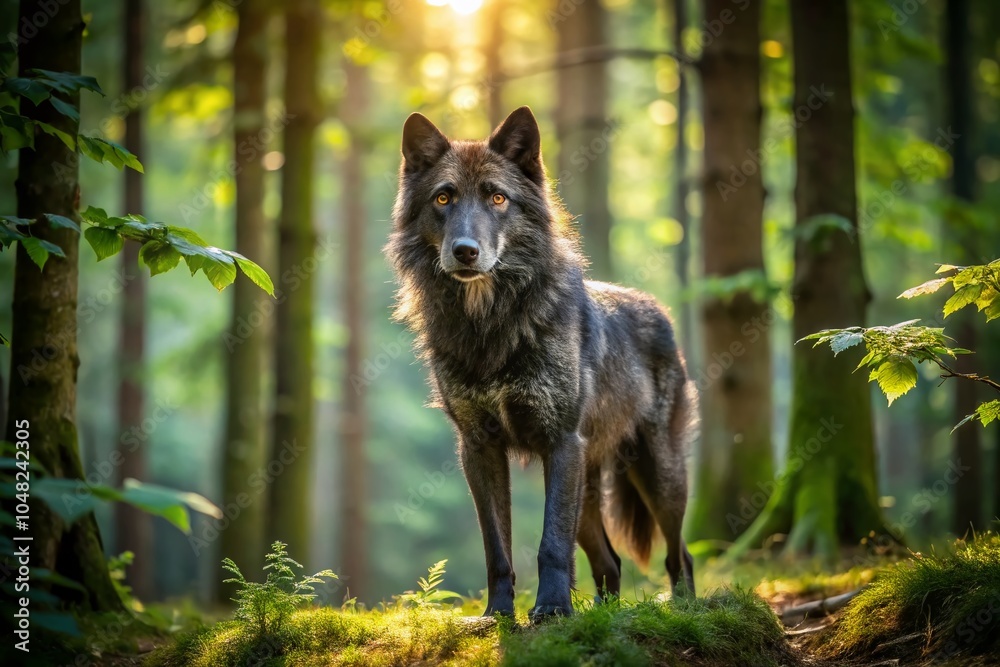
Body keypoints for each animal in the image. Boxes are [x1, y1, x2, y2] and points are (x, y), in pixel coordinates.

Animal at [387, 106, 697, 619]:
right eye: (444, 197)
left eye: (497, 197)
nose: (465, 251)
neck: (490, 324)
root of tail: (658, 308)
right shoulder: (479, 448)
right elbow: (497, 547)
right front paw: (498, 615)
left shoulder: (560, 441)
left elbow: (551, 543)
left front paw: (551, 610)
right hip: (587, 487)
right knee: (610, 561)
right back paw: (604, 614)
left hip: (657, 474)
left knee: (680, 554)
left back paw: (685, 609)